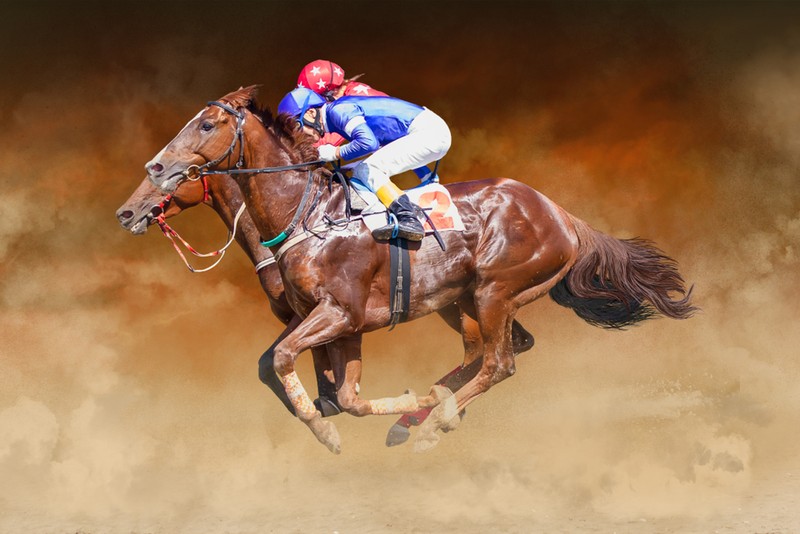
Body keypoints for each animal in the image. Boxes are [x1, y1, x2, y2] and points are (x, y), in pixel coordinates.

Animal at [116, 171, 534, 446]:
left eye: (172, 175)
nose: (126, 212)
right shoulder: (307, 314)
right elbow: (275, 365)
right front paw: (323, 405)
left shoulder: (318, 311)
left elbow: (283, 361)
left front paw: (326, 408)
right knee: (508, 344)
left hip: (459, 302)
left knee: (491, 349)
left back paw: (423, 415)